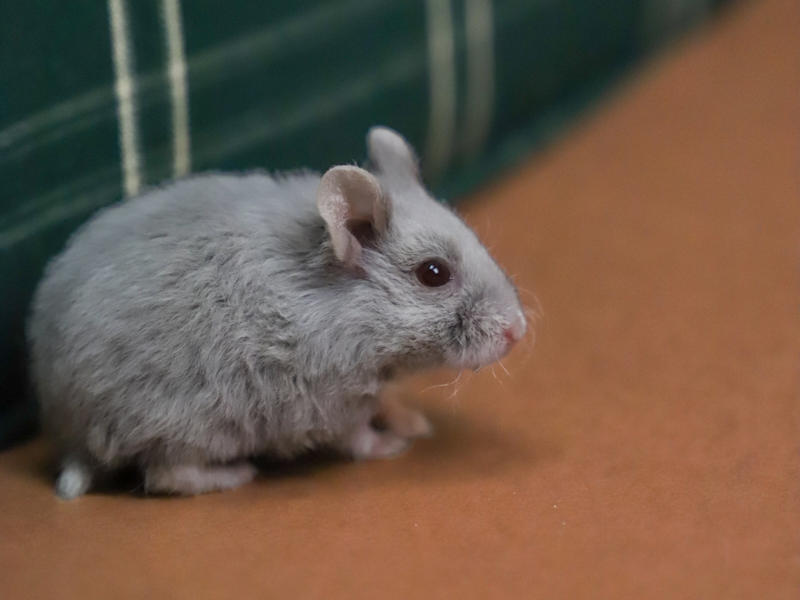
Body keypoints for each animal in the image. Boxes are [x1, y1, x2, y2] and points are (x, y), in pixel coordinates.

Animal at [27, 127, 527, 499]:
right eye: (433, 273)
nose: (519, 331)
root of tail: (69, 436)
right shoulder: (331, 403)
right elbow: (359, 436)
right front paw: (392, 445)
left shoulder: (367, 386)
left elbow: (386, 401)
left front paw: (415, 423)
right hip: (185, 428)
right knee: (166, 475)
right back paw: (236, 474)